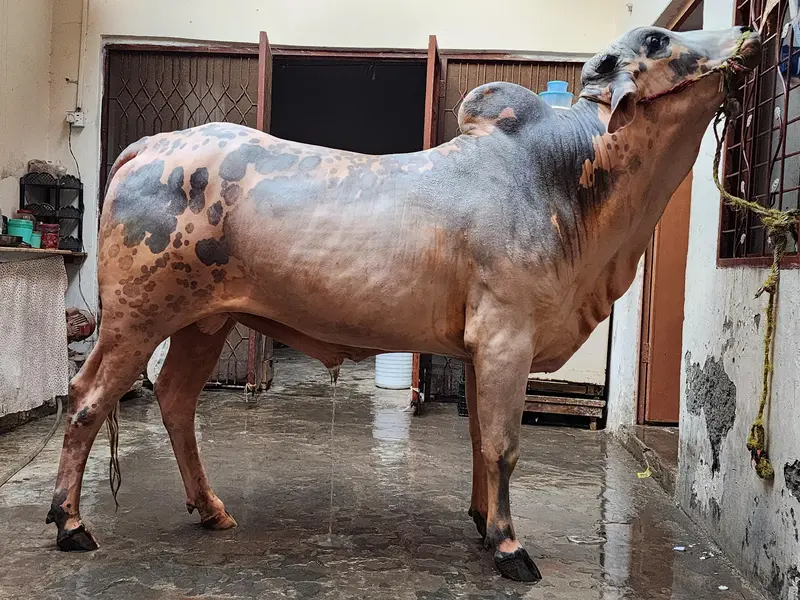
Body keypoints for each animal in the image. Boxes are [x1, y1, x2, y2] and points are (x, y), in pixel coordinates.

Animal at [47, 25, 760, 583]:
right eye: (659, 39)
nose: (750, 35)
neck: (568, 178)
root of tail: (152, 145)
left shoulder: (480, 347)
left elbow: (478, 438)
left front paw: (482, 521)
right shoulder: (507, 336)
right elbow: (503, 443)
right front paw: (509, 547)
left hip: (204, 321)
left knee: (174, 400)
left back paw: (212, 509)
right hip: (138, 316)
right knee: (86, 400)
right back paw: (71, 524)